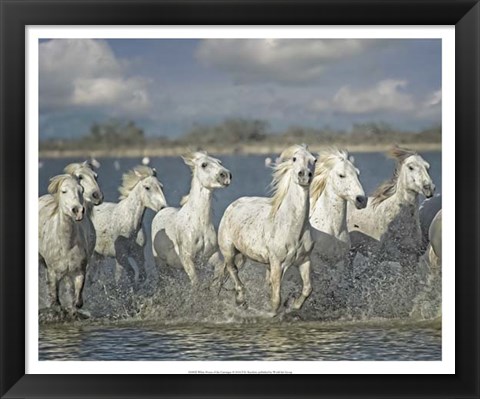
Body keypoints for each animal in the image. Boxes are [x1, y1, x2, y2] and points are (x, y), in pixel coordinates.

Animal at [38, 176, 88, 312]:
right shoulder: (53, 272)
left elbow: (77, 299)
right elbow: (55, 298)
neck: (66, 246)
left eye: (81, 190)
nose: (78, 211)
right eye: (64, 191)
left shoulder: (80, 271)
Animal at [151, 152, 232, 286]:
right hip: (161, 265)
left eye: (219, 162)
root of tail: (161, 210)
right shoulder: (187, 259)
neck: (199, 224)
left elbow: (218, 274)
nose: (226, 175)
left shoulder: (211, 256)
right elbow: (196, 282)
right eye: (204, 164)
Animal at [217, 145, 316, 316]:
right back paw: (241, 299)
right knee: (232, 269)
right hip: (229, 250)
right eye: (294, 159)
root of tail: (232, 206)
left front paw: (293, 305)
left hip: (244, 255)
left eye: (314, 160)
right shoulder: (277, 263)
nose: (304, 176)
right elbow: (276, 299)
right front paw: (269, 313)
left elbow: (307, 288)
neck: (292, 228)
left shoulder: (304, 260)